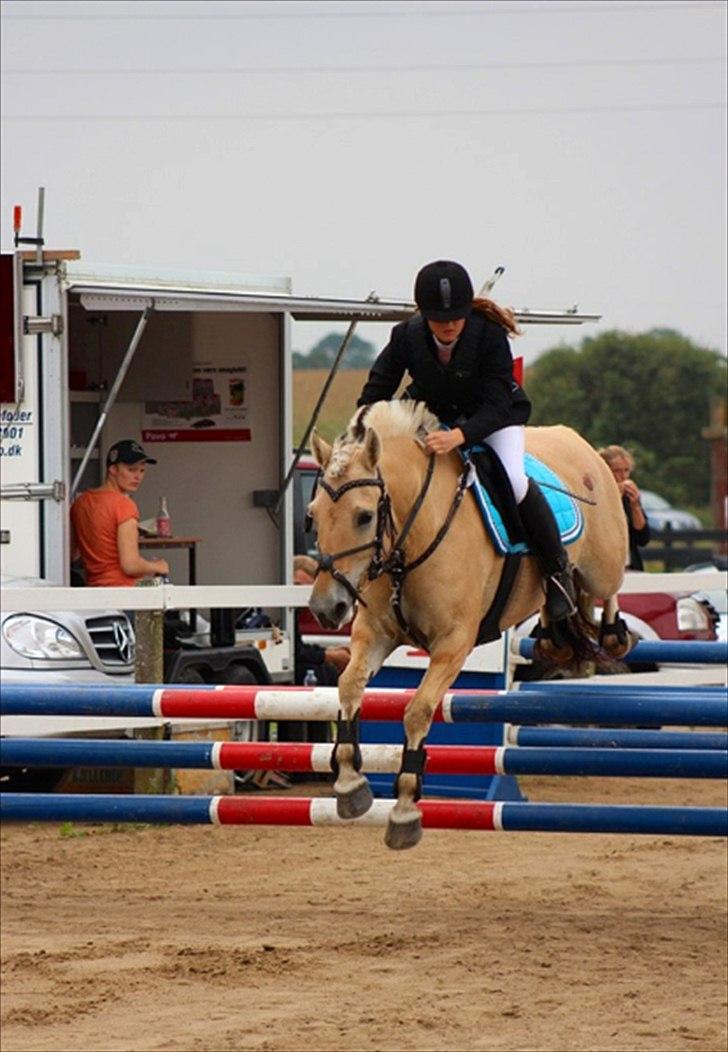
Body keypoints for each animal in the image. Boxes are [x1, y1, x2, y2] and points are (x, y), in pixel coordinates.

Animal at [305, 397, 627, 850]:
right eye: (313, 515)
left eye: (364, 516)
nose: (326, 608)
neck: (410, 537)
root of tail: (577, 440)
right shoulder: (376, 634)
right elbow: (349, 685)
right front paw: (351, 784)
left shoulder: (453, 643)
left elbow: (418, 711)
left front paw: (405, 809)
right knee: (564, 597)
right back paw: (553, 633)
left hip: (604, 564)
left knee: (607, 587)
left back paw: (614, 635)